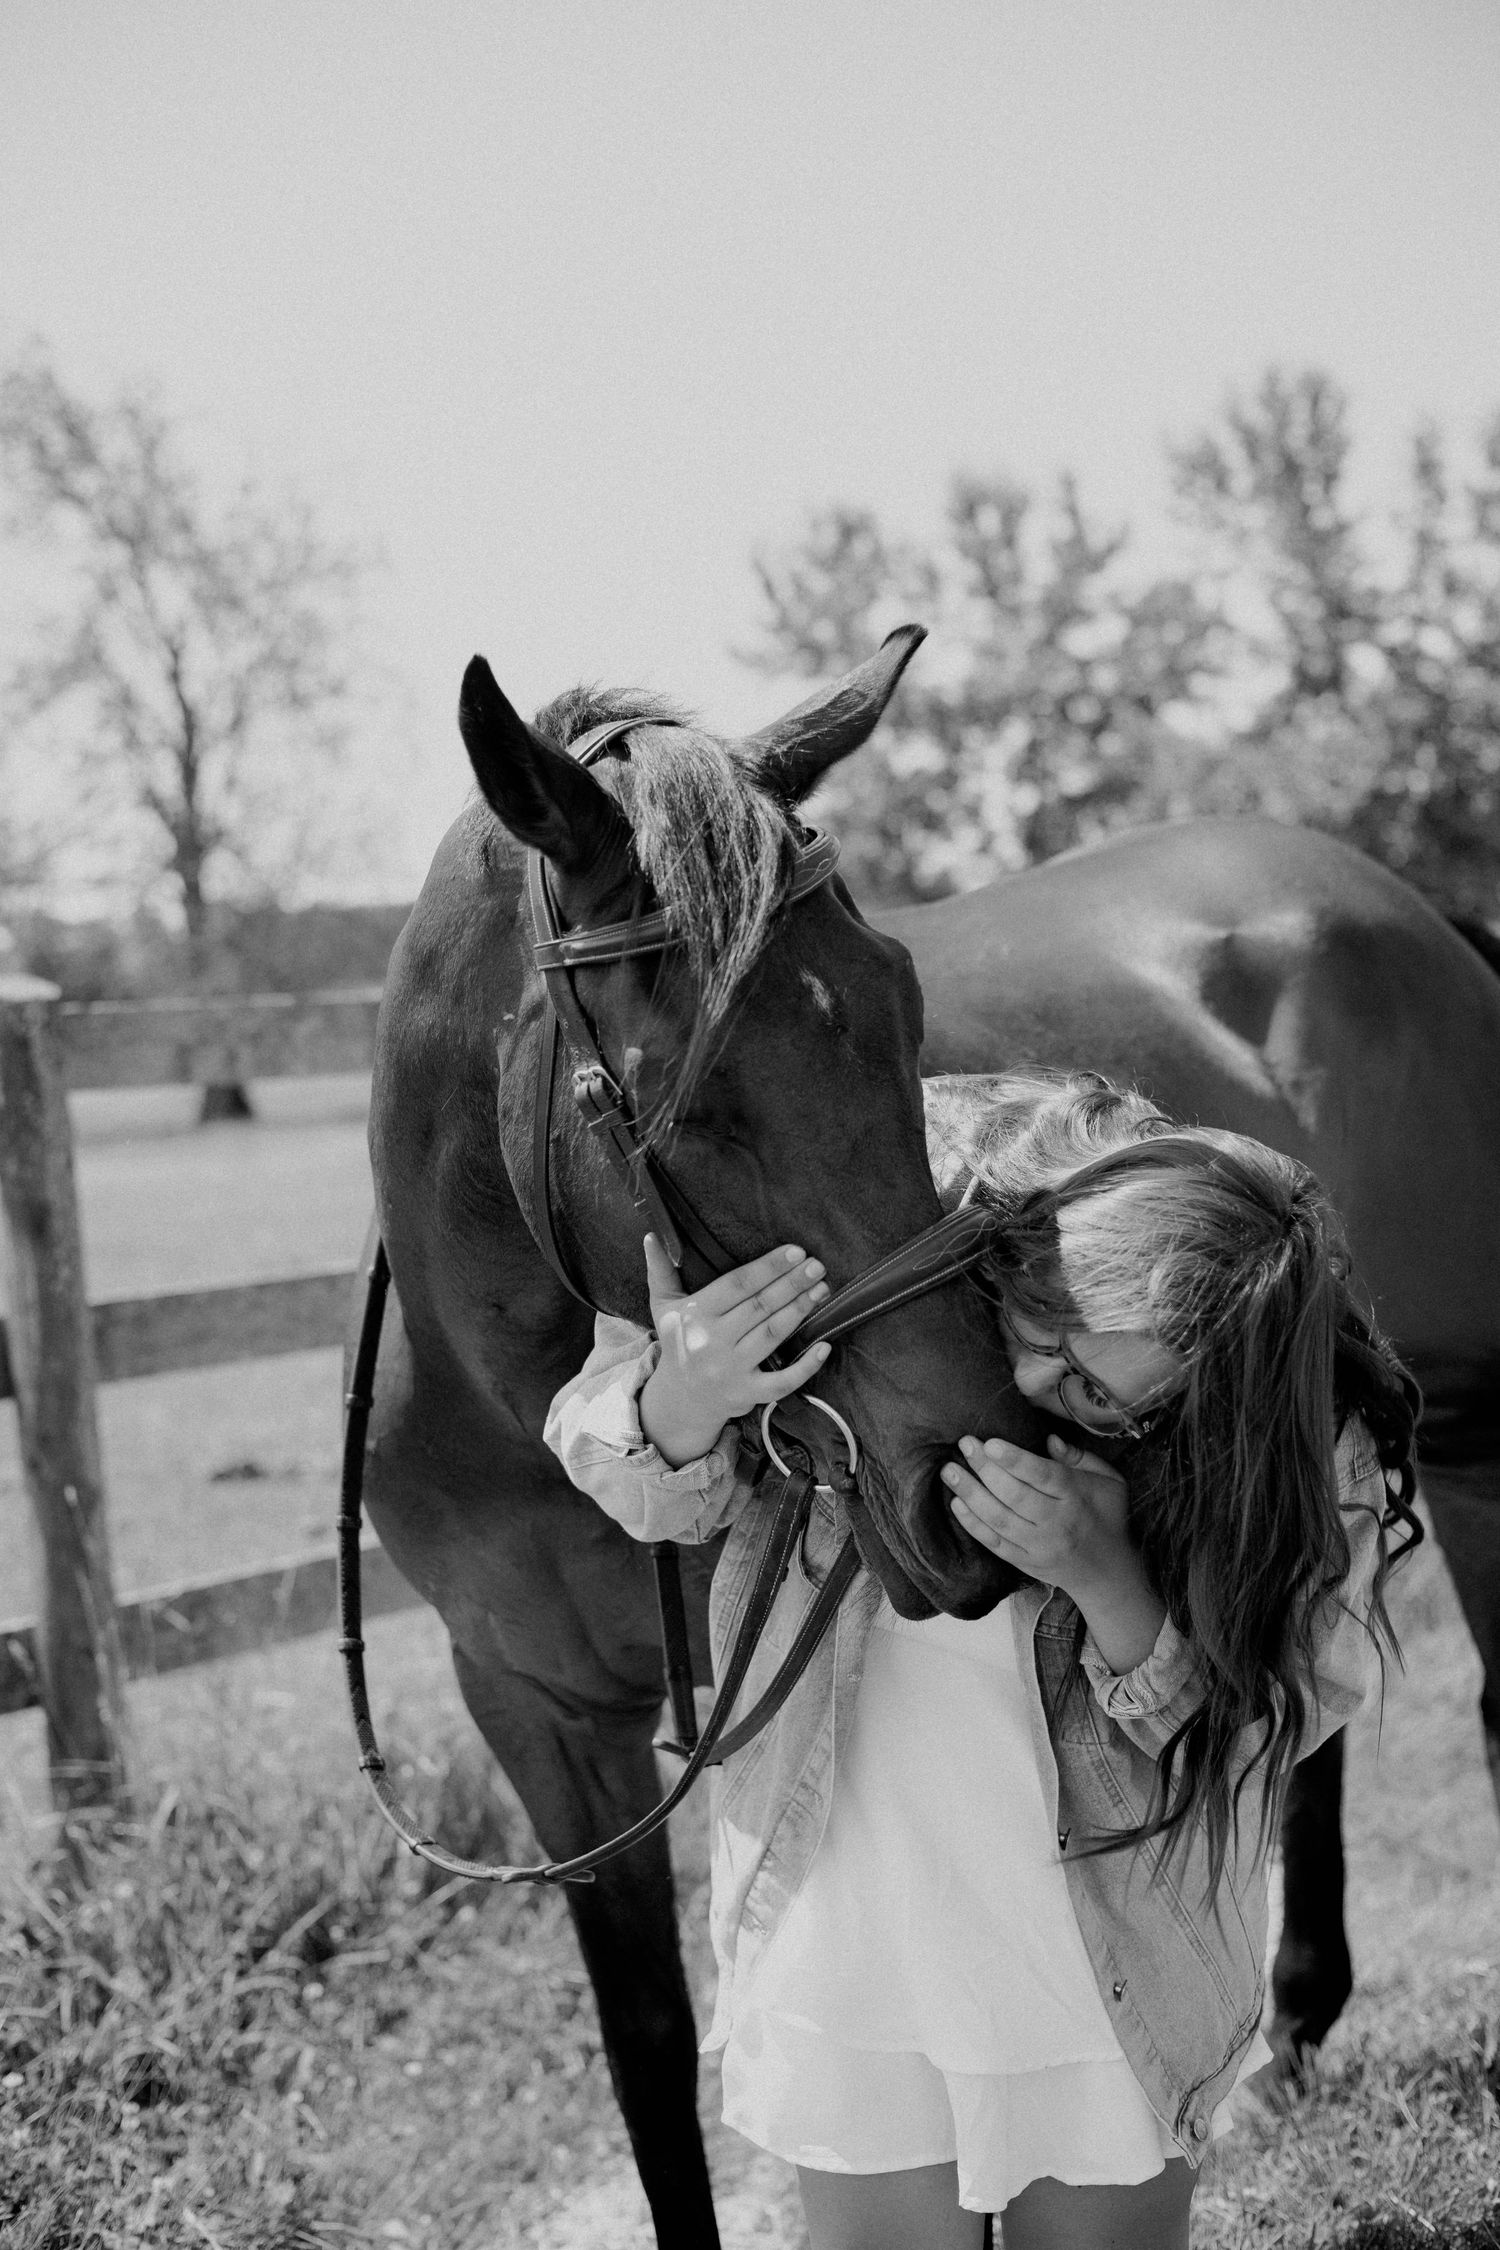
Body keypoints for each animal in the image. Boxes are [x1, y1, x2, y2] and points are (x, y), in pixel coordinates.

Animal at [359, 629, 1027, 2250]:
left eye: (905, 1002)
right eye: (694, 1091)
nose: (961, 1479)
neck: (519, 1408)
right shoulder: (535, 1715)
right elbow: (651, 2050)